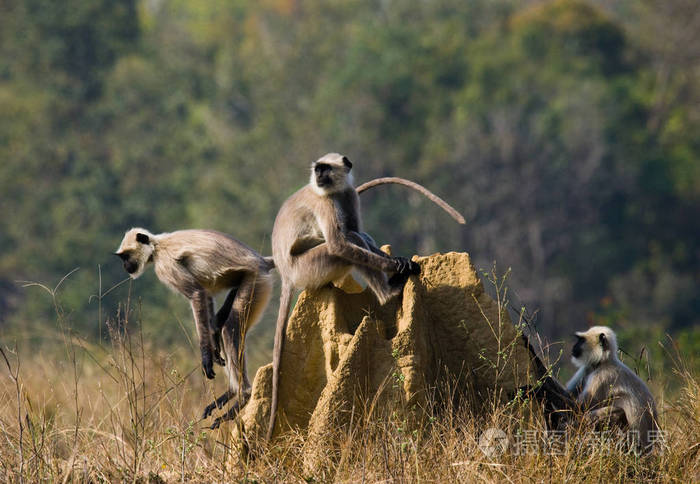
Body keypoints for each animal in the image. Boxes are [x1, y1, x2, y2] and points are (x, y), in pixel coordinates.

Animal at [115, 228, 274, 428]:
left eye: (126, 256)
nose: (125, 266)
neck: (157, 245)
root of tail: (262, 261)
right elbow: (206, 295)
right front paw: (213, 350)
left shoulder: (165, 265)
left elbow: (197, 294)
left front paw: (206, 356)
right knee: (221, 323)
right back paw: (230, 391)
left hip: (256, 280)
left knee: (230, 327)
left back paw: (243, 395)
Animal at [568, 326, 660, 454]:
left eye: (581, 340)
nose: (574, 347)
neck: (603, 363)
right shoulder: (587, 369)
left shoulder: (602, 377)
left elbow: (579, 408)